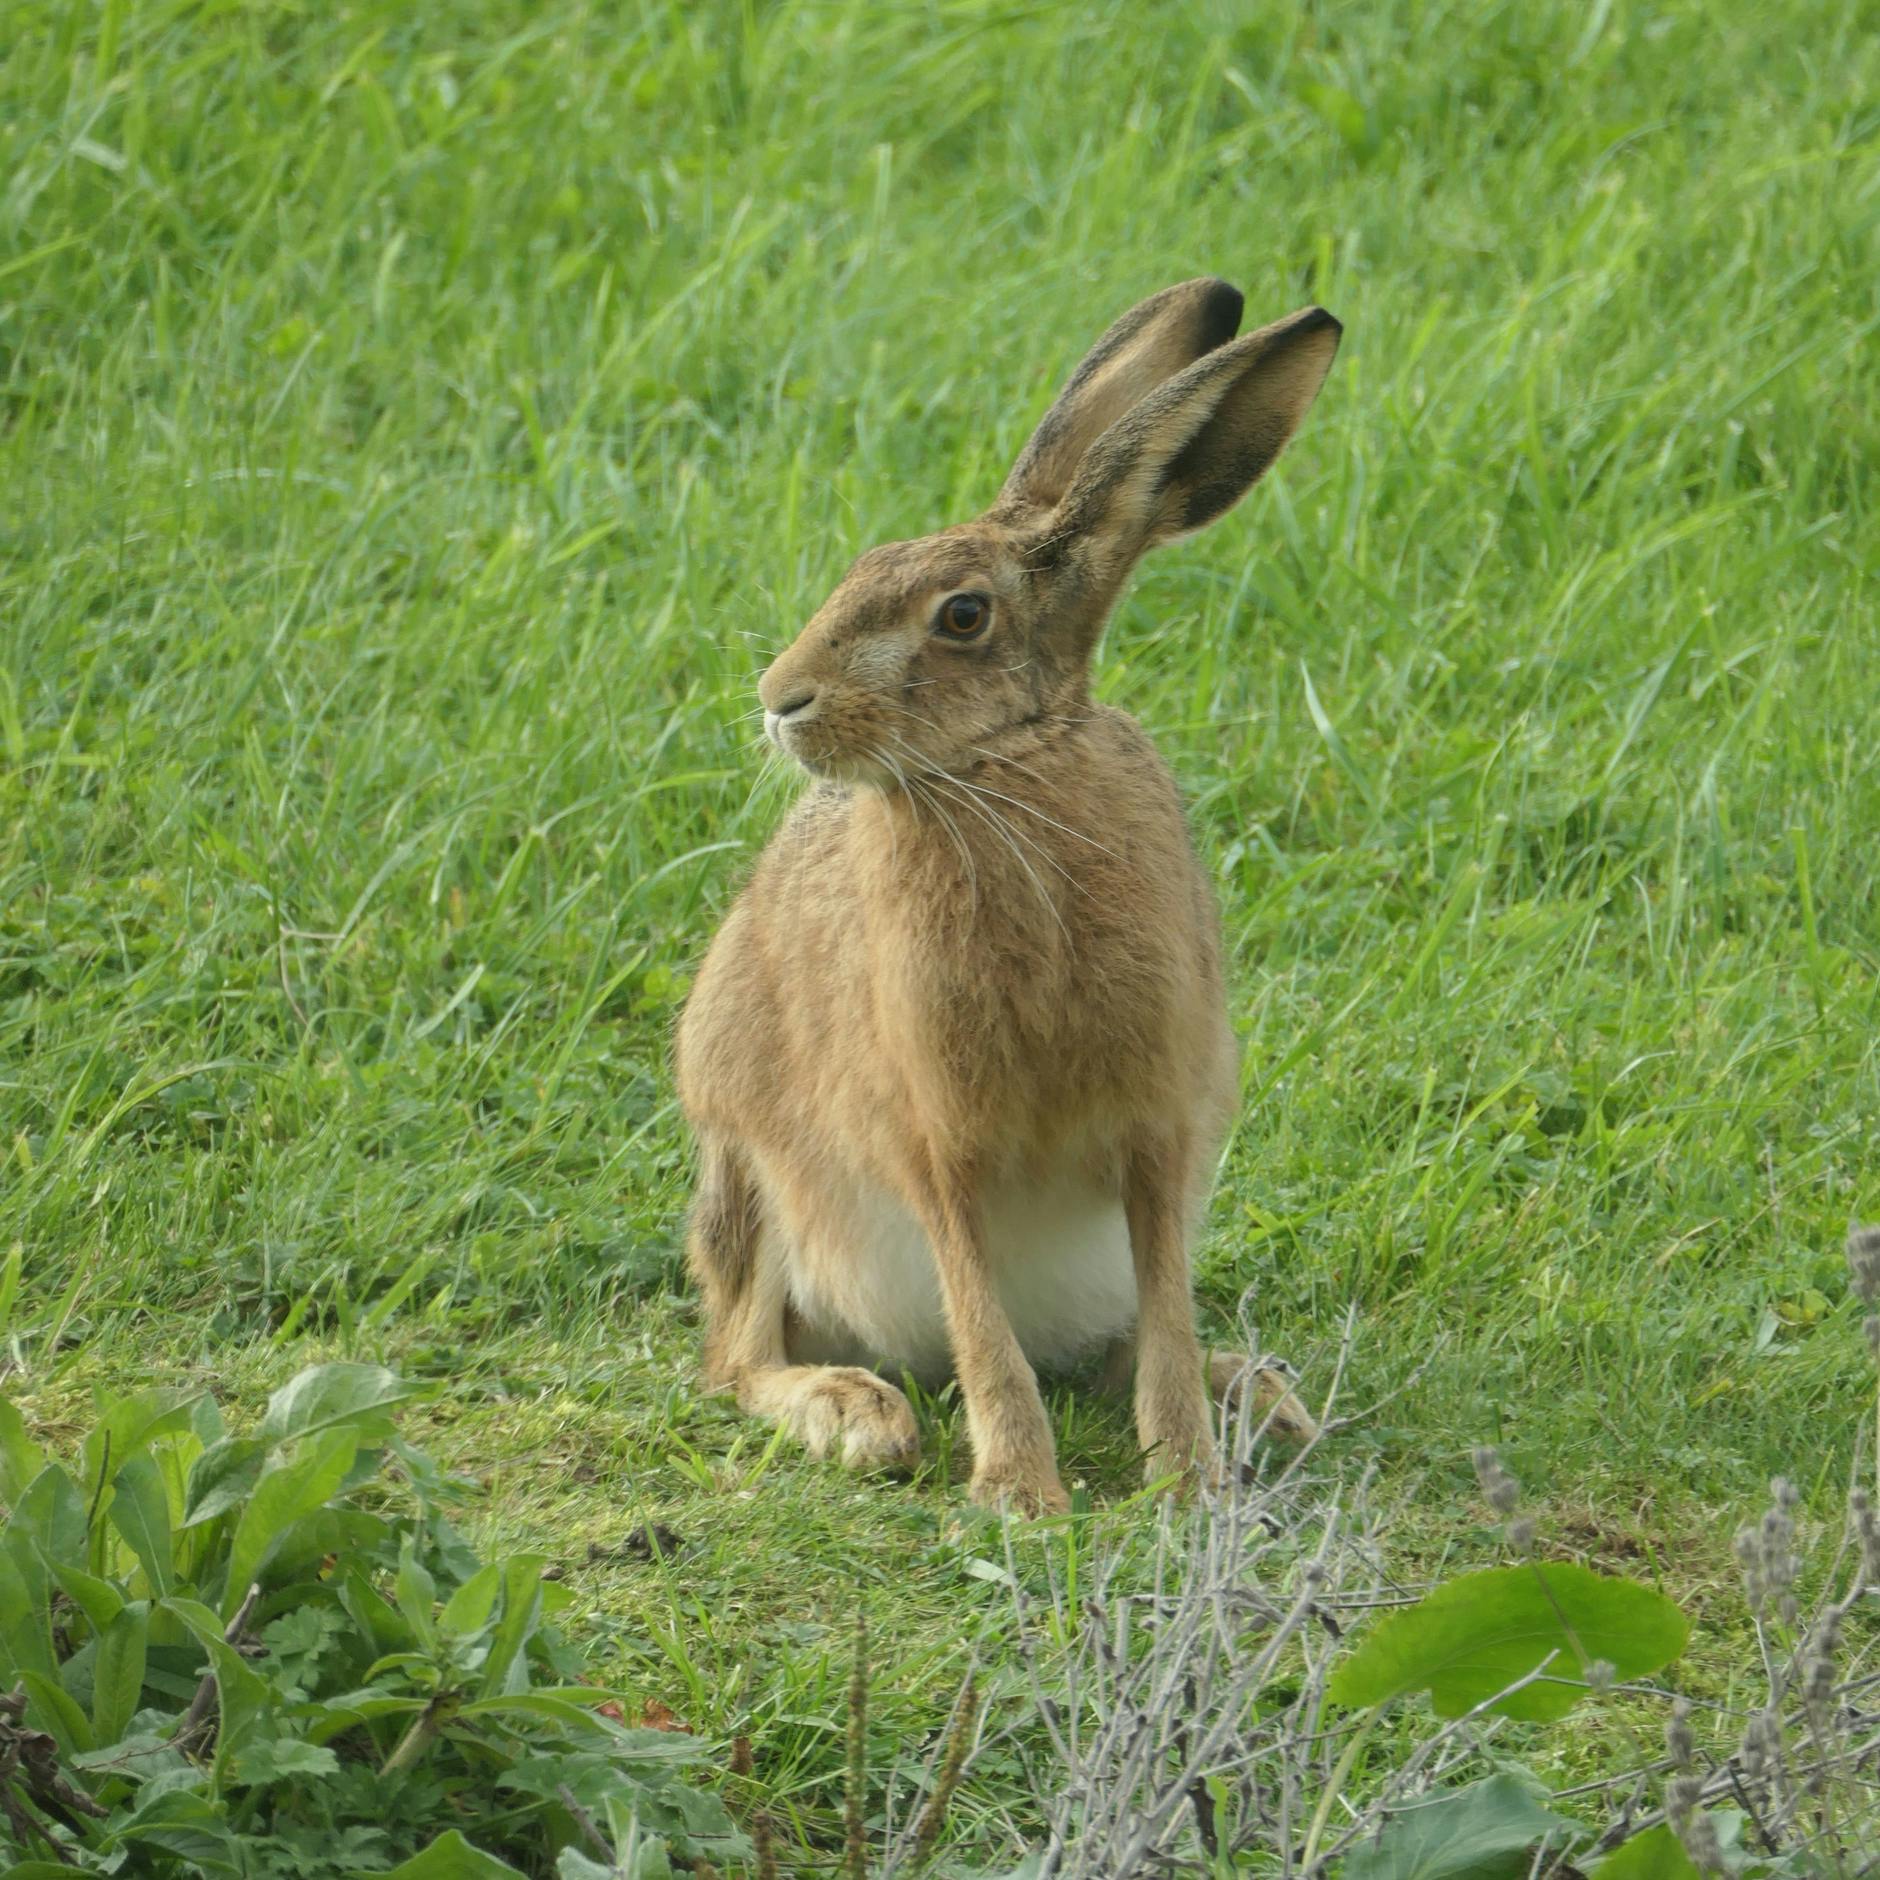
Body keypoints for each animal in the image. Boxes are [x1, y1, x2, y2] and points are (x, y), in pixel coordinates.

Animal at [674, 278, 1342, 1514]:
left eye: (962, 616)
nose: (780, 699)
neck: (1004, 767)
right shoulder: (932, 1139)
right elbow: (983, 1323)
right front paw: (1023, 1498)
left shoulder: (1158, 1130)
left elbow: (1163, 1314)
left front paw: (1186, 1482)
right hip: (749, 1172)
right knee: (735, 1357)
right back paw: (855, 1413)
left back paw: (1263, 1396)